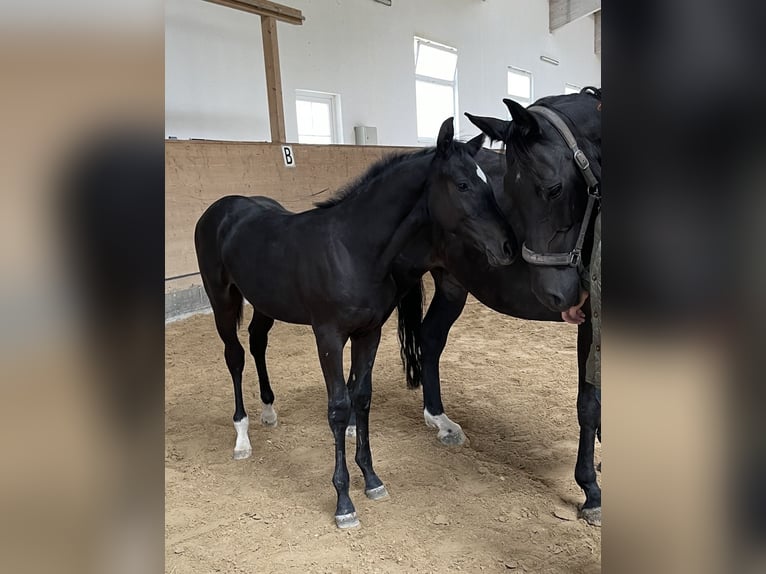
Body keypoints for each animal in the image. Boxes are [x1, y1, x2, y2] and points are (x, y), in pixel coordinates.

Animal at [194, 119, 516, 532]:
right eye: (462, 184)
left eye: (487, 182)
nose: (508, 247)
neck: (352, 249)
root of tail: (221, 208)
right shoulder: (328, 337)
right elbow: (337, 407)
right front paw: (344, 502)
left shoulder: (369, 333)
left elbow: (361, 398)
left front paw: (373, 480)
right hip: (222, 299)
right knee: (234, 356)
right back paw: (242, 437)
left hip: (264, 302)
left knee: (257, 341)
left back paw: (268, 411)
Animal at [392, 91, 604, 528]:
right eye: (511, 192)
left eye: (554, 189)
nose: (557, 296)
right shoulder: (591, 321)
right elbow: (589, 404)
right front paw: (590, 490)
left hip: (452, 286)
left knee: (430, 339)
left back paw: (439, 420)